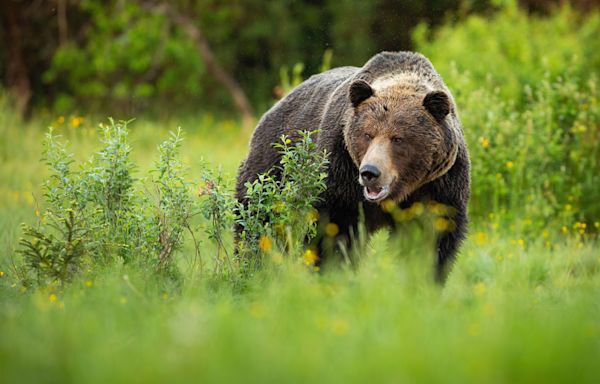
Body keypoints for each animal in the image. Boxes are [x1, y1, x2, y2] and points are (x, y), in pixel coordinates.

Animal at [237, 51, 472, 280]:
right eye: (367, 134)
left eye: (398, 138)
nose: (370, 172)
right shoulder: (341, 170)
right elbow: (335, 228)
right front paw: (333, 272)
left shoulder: (438, 184)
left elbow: (430, 236)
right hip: (273, 167)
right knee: (257, 218)